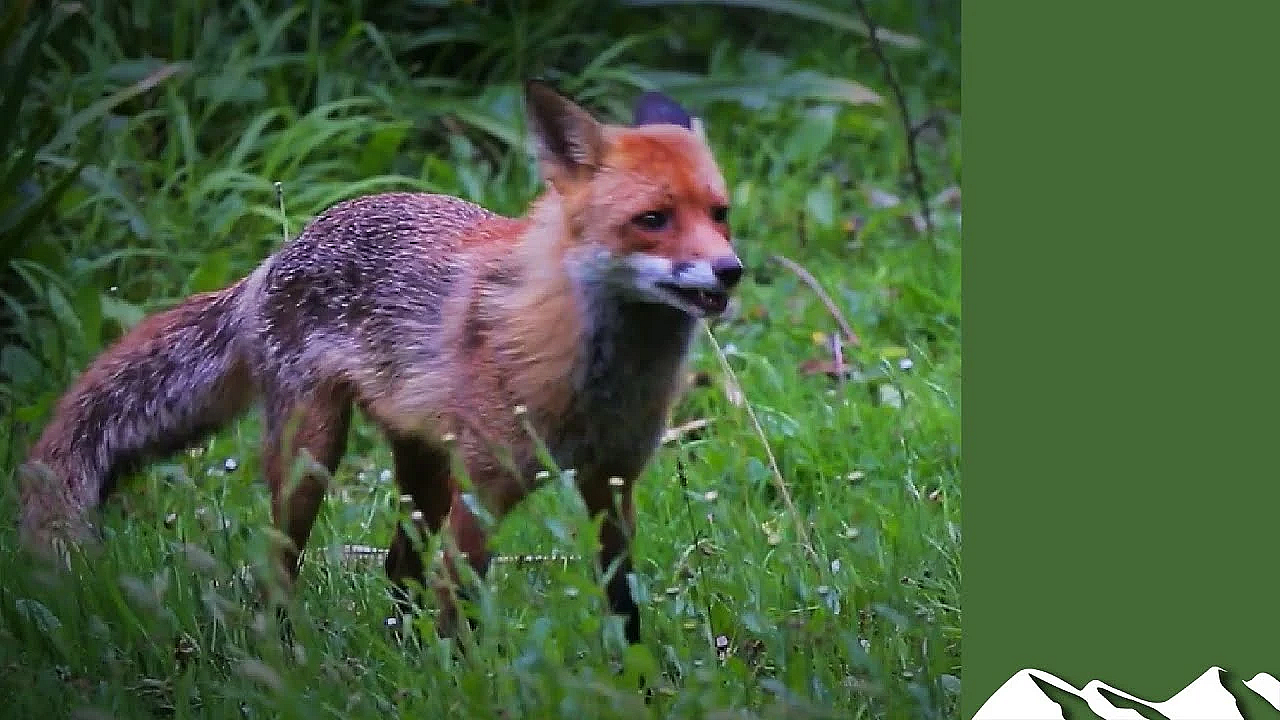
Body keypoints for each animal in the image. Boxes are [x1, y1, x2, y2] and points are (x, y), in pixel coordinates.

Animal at [16, 80, 741, 644]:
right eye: (653, 219)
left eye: (720, 214)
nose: (731, 270)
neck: (597, 385)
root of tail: (276, 256)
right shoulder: (485, 490)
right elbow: (459, 609)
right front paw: (462, 684)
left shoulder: (612, 483)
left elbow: (624, 606)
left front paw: (640, 686)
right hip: (314, 459)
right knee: (279, 567)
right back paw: (284, 653)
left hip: (424, 472)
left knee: (396, 566)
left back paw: (397, 651)